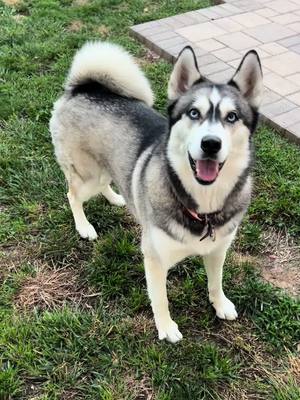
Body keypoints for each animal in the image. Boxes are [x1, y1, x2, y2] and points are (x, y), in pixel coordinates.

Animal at [51, 40, 262, 342]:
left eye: (232, 117)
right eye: (194, 113)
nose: (211, 143)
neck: (203, 207)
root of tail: (83, 88)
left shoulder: (218, 250)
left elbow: (216, 281)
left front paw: (220, 304)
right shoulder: (155, 258)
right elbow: (160, 298)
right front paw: (166, 327)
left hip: (107, 167)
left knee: (107, 183)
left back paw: (117, 198)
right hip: (88, 174)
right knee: (72, 194)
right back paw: (84, 226)